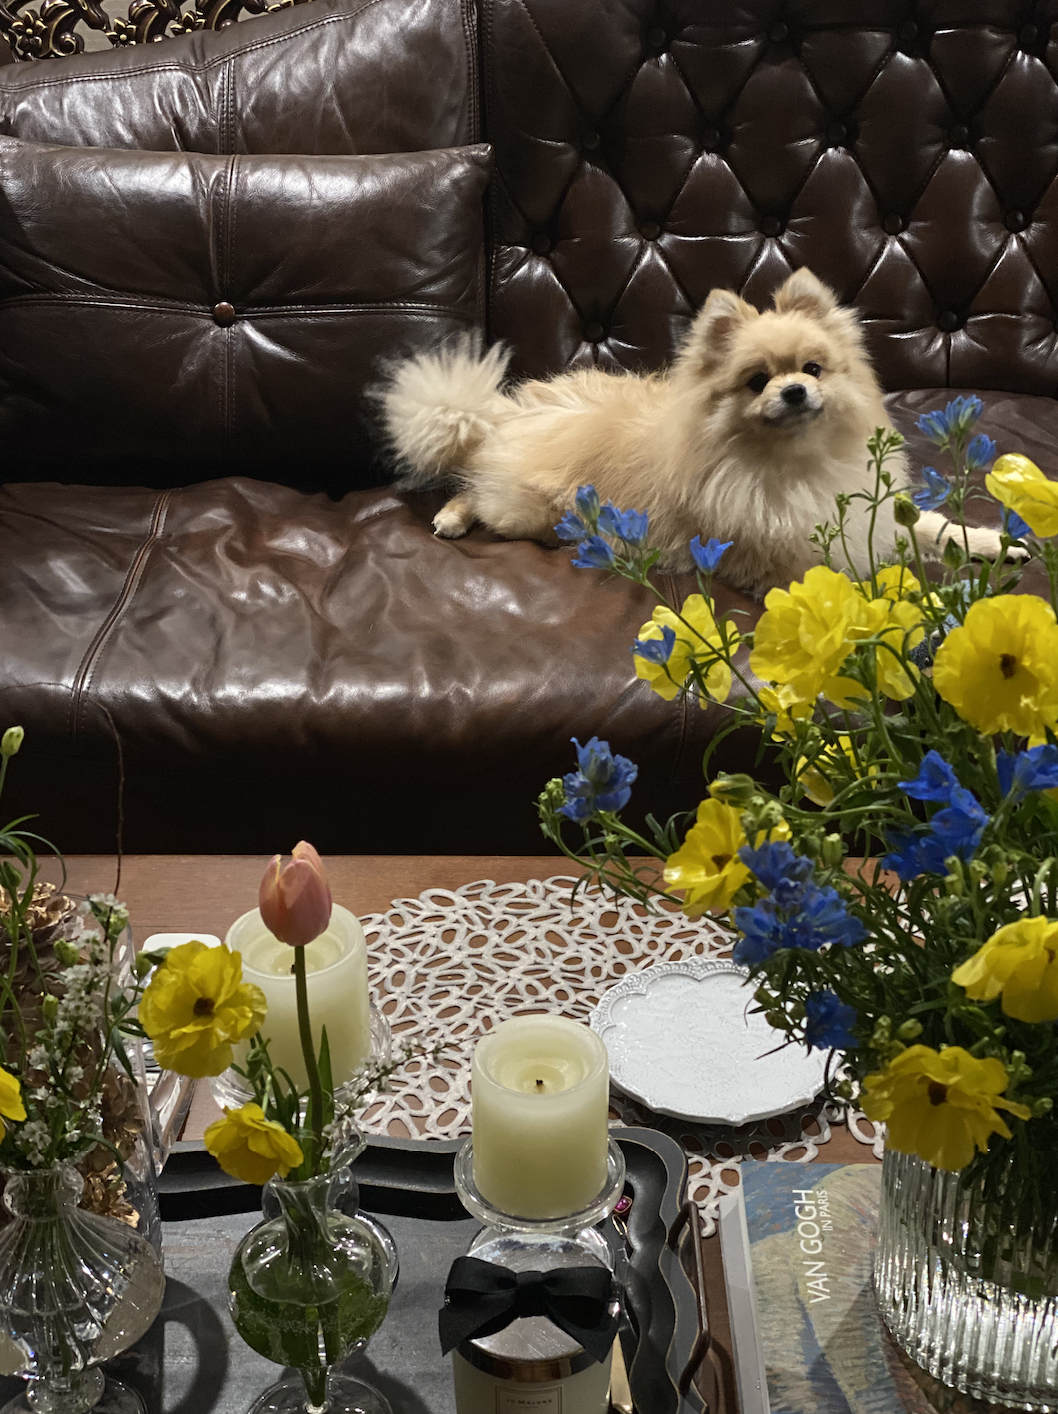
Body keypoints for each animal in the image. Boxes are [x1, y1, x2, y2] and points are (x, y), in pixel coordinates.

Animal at [380, 268, 1003, 598]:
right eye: (757, 382)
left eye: (813, 369)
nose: (793, 391)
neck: (794, 462)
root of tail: (504, 415)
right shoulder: (782, 557)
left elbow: (932, 525)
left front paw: (993, 544)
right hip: (526, 508)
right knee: (476, 489)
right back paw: (452, 516)